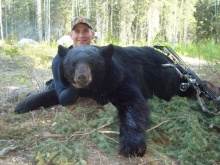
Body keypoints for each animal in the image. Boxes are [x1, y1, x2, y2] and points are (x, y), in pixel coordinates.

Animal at [14, 44, 195, 157]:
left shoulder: (119, 79)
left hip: (170, 80)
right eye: (73, 63)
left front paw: (132, 144)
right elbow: (54, 94)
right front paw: (22, 105)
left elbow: (134, 103)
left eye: (91, 62)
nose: (82, 77)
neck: (92, 87)